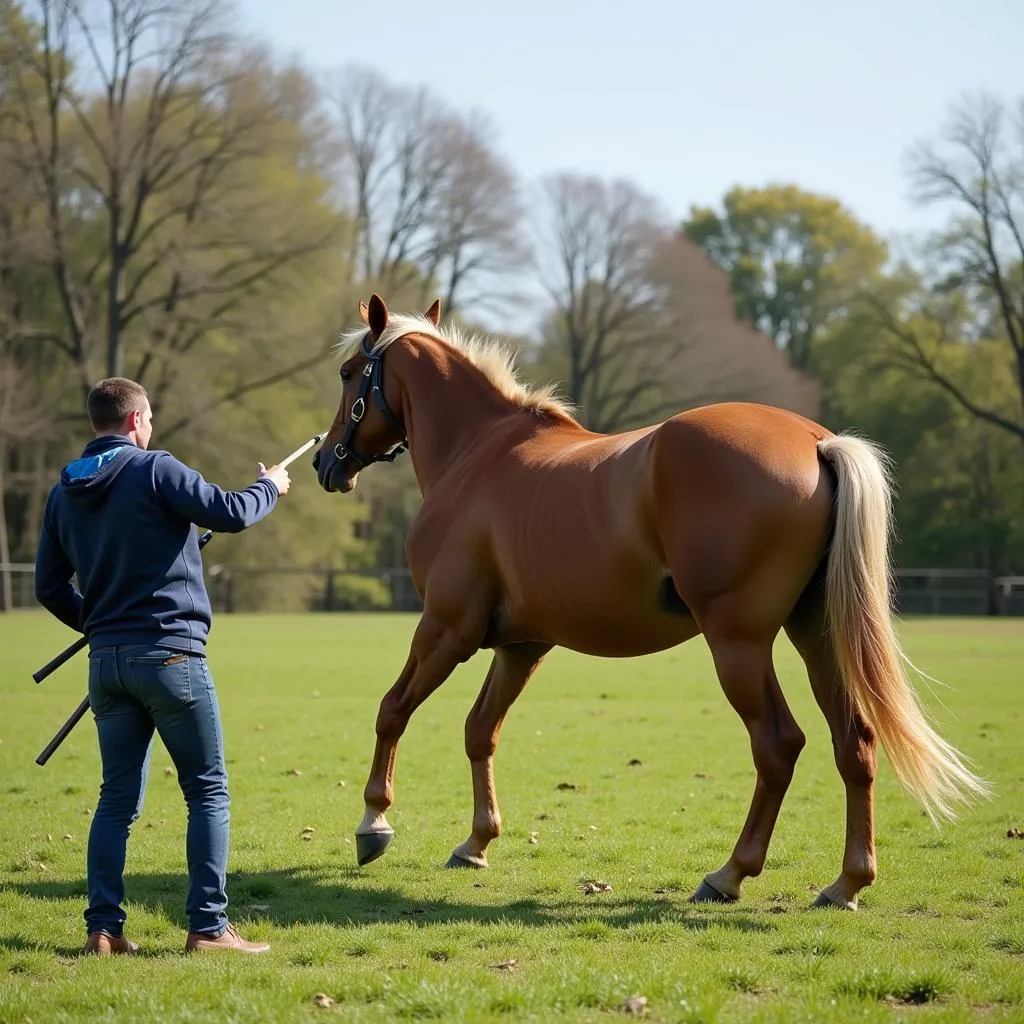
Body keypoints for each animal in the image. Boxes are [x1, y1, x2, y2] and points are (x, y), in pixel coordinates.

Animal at [311, 292, 991, 909]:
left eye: (348, 372)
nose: (324, 462)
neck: (479, 456)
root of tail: (814, 442)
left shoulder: (445, 629)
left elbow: (392, 710)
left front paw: (374, 822)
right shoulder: (521, 645)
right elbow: (482, 732)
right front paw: (477, 842)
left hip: (738, 644)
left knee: (778, 746)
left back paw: (729, 874)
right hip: (815, 633)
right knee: (854, 743)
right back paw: (847, 882)